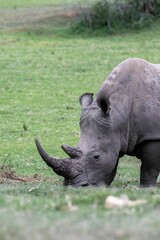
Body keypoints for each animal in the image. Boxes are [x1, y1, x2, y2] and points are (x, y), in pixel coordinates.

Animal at [35, 58, 160, 188]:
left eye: (96, 156)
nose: (75, 187)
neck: (118, 114)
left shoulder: (153, 136)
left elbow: (148, 170)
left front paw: (147, 188)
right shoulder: (113, 133)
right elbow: (111, 167)